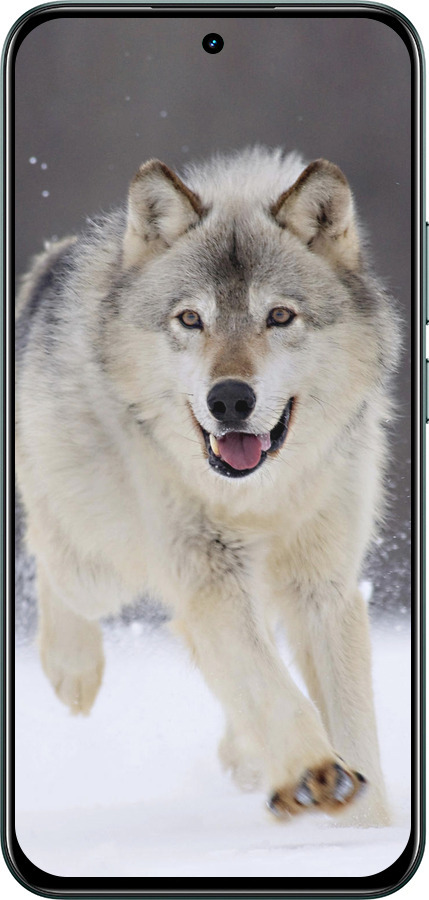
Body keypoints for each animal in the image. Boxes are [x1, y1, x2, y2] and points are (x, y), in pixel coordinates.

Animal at [15, 147, 399, 826]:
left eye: (279, 316)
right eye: (191, 319)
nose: (230, 400)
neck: (260, 497)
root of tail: (53, 260)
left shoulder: (323, 586)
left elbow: (351, 722)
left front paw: (366, 825)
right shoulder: (208, 574)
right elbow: (269, 685)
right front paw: (313, 773)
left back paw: (244, 756)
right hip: (101, 565)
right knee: (50, 556)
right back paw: (72, 671)